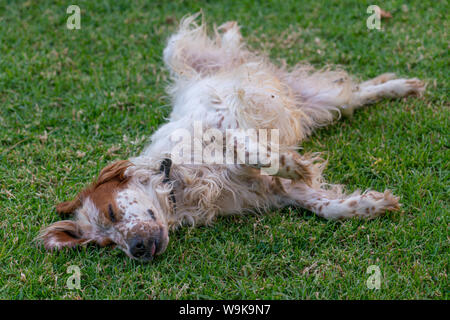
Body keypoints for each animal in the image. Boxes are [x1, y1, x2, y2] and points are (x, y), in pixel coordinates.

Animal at [39, 13, 426, 262]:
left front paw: (292, 163)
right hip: (322, 104)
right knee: (357, 95)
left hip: (181, 51)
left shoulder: (226, 119)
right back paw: (403, 87)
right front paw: (373, 204)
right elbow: (326, 207)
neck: (180, 182)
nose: (135, 251)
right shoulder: (278, 193)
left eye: (112, 212)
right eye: (106, 243)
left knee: (198, 41)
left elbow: (250, 149)